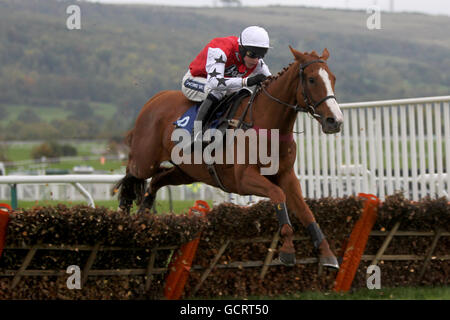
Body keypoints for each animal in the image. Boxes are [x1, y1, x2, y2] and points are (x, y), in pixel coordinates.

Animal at [114, 46, 342, 268]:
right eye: (311, 79)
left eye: (333, 78)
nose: (335, 121)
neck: (267, 125)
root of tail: (155, 99)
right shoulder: (243, 179)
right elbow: (278, 195)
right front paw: (287, 248)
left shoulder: (286, 176)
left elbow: (305, 211)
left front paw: (327, 253)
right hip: (145, 161)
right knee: (130, 178)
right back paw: (123, 220)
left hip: (186, 172)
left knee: (156, 181)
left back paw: (143, 218)